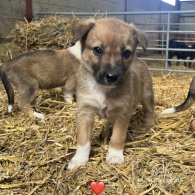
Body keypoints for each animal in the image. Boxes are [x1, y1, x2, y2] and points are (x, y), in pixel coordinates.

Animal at [68, 17, 155, 169]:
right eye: (97, 50)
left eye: (126, 53)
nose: (112, 76)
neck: (102, 89)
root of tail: (140, 61)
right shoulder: (85, 112)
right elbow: (83, 140)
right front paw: (79, 159)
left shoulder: (122, 113)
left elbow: (117, 137)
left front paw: (114, 155)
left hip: (147, 95)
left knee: (149, 110)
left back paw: (148, 124)